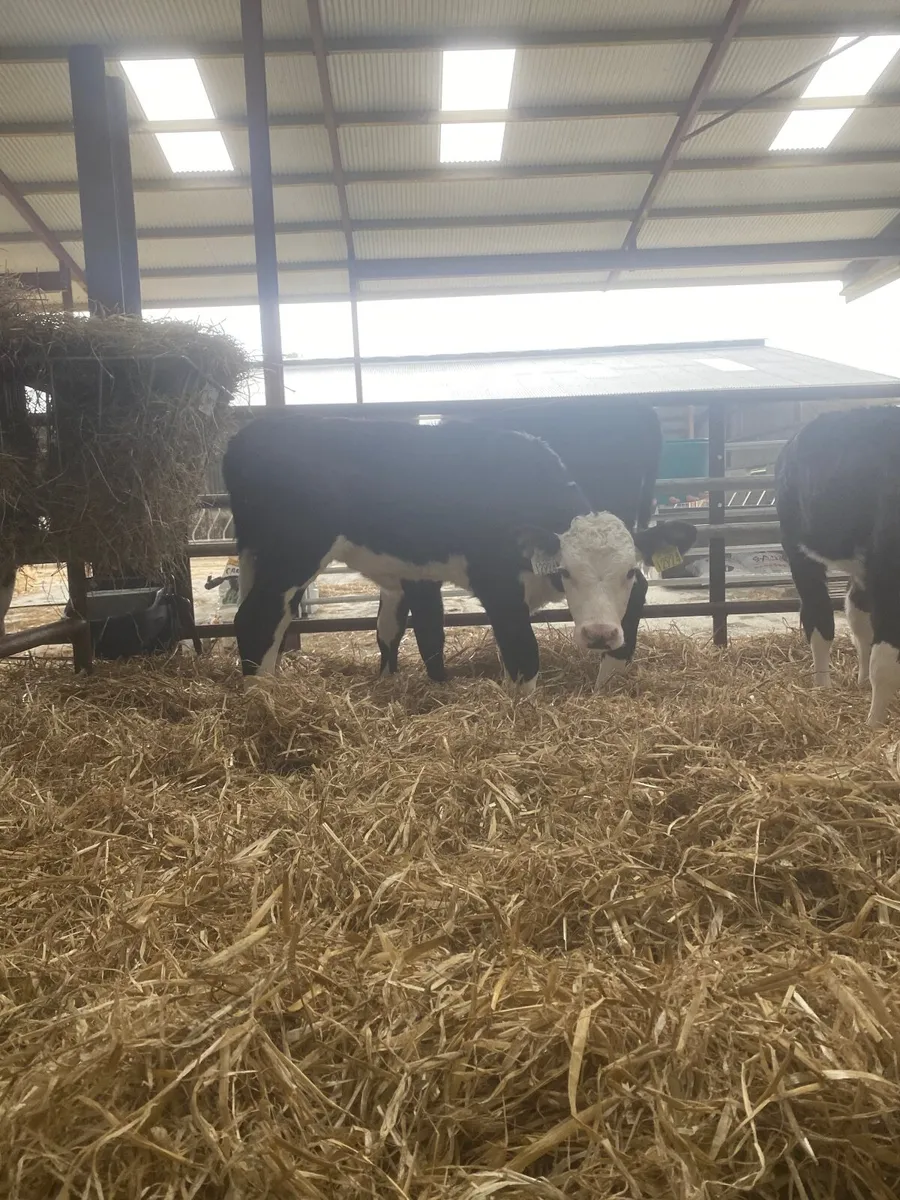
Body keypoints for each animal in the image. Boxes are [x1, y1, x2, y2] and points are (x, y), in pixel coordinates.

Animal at [776, 404, 900, 727]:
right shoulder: (888, 579)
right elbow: (884, 663)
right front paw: (873, 725)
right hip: (799, 551)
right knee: (819, 619)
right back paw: (823, 687)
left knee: (857, 615)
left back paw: (860, 681)